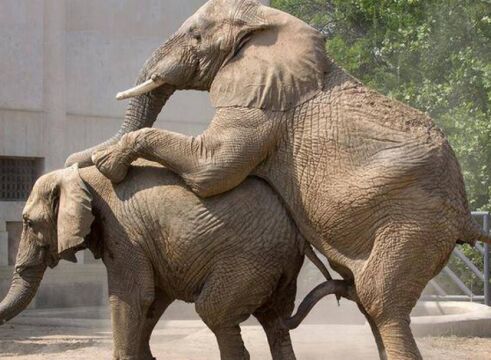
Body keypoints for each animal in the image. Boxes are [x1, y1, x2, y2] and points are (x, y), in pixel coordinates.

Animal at [0, 162, 348, 360]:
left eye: (28, 223)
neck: (78, 175)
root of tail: (297, 227)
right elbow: (153, 300)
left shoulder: (123, 234)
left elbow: (132, 296)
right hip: (277, 265)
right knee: (275, 322)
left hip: (251, 260)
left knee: (215, 312)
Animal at [66, 0, 491, 360]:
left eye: (195, 36)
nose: (69, 160)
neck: (265, 19)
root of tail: (463, 214)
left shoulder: (262, 108)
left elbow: (213, 169)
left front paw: (107, 163)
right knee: (369, 303)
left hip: (415, 221)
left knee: (380, 301)